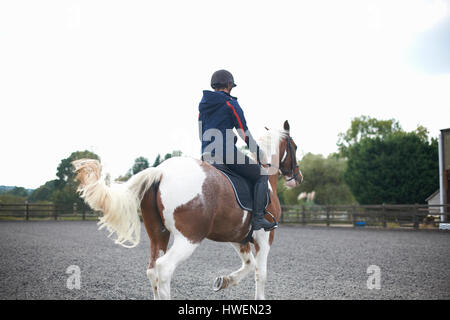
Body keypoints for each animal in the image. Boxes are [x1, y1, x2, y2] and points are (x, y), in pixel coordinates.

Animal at [72, 120, 302, 300]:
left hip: (158, 235)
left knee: (152, 270)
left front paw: (224, 281)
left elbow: (249, 264)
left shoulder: (238, 237)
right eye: (295, 146)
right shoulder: (265, 237)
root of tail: (161, 171)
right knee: (164, 268)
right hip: (189, 238)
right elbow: (260, 273)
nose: (297, 178)